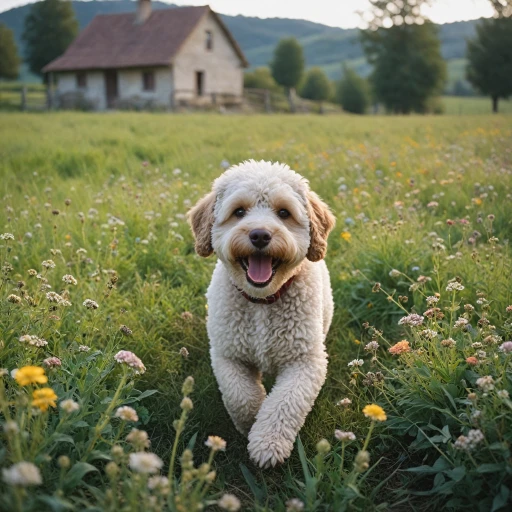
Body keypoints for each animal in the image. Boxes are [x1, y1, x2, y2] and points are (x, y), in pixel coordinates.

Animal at [188, 160, 336, 468]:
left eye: (283, 213)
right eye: (239, 212)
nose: (259, 234)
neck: (261, 302)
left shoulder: (306, 362)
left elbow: (285, 403)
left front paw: (267, 443)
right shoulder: (228, 355)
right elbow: (241, 396)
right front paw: (251, 420)